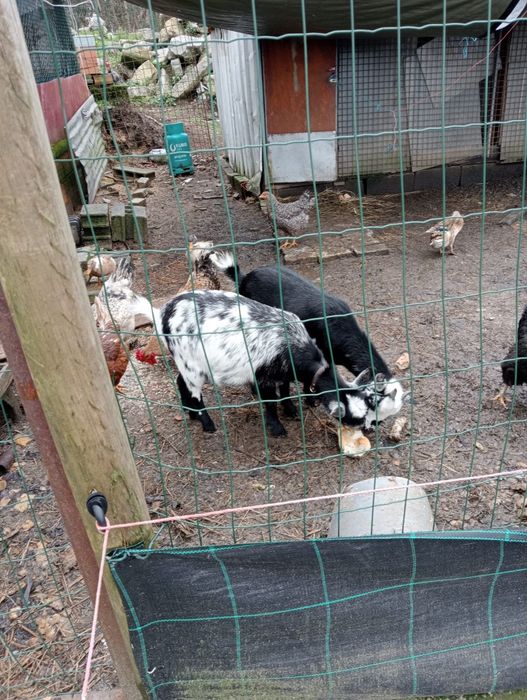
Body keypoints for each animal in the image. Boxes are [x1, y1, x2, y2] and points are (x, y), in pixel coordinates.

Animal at [133, 290, 374, 437]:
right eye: (354, 418)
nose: (371, 428)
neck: (293, 345)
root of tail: (161, 313)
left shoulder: (282, 373)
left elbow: (284, 392)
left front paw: (291, 411)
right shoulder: (264, 377)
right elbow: (270, 402)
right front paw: (278, 429)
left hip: (187, 363)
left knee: (180, 382)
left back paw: (190, 412)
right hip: (190, 362)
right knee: (193, 390)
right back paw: (207, 423)